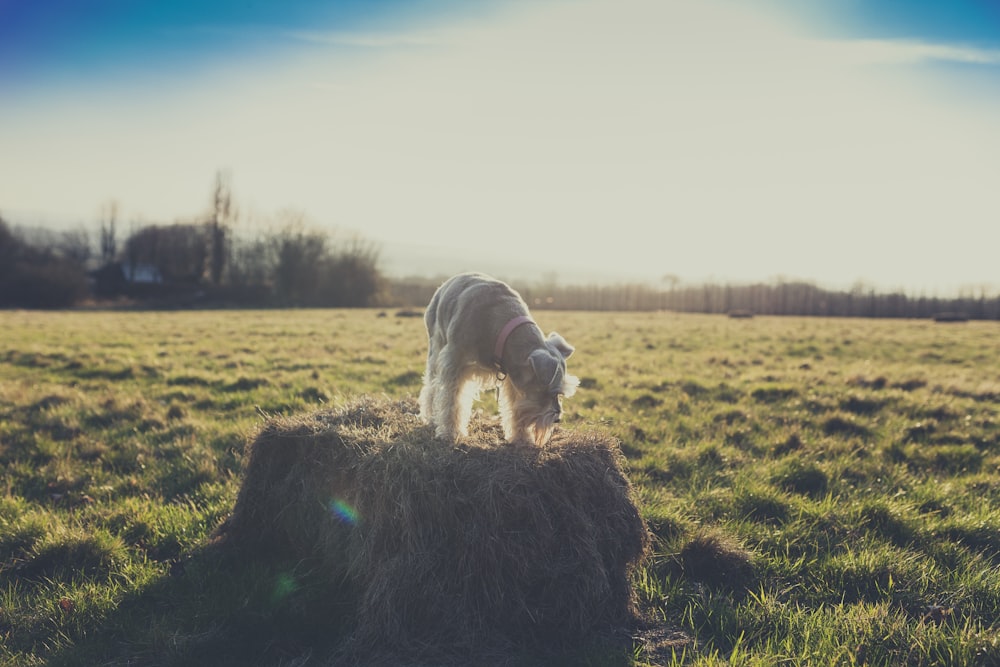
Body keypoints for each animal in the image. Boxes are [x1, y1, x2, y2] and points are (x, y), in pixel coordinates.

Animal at [420, 272, 580, 448]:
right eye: (550, 392)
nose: (557, 419)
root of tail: (445, 283)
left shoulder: (513, 378)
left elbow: (514, 408)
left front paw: (521, 438)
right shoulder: (454, 364)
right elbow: (452, 402)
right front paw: (450, 433)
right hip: (435, 348)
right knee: (431, 386)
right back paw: (431, 416)